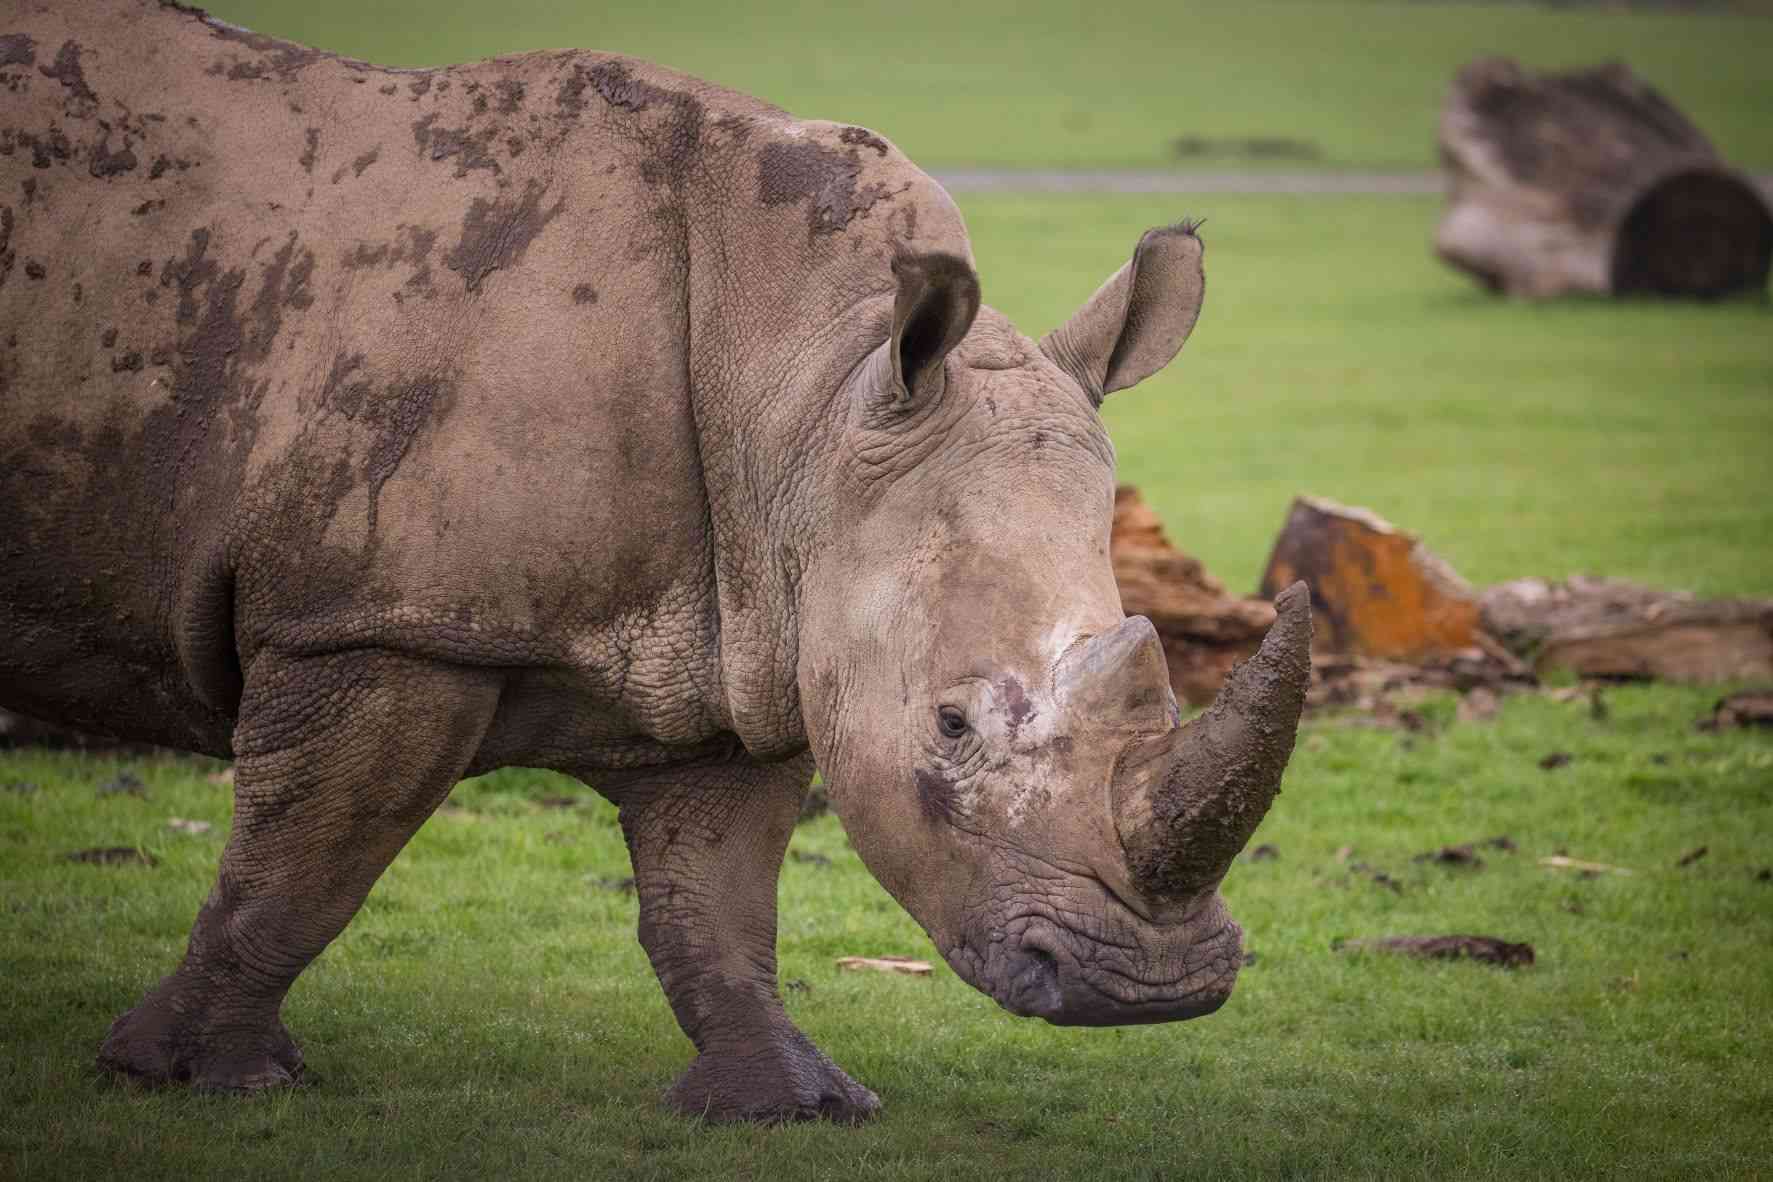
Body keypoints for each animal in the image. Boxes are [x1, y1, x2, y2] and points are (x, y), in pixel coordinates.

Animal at [0, 2, 1304, 1127]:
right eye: (949, 724)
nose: (1152, 988)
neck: (806, 388)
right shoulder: (380, 618)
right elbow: (299, 865)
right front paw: (195, 1079)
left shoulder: (753, 637)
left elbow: (716, 909)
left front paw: (789, 1105)